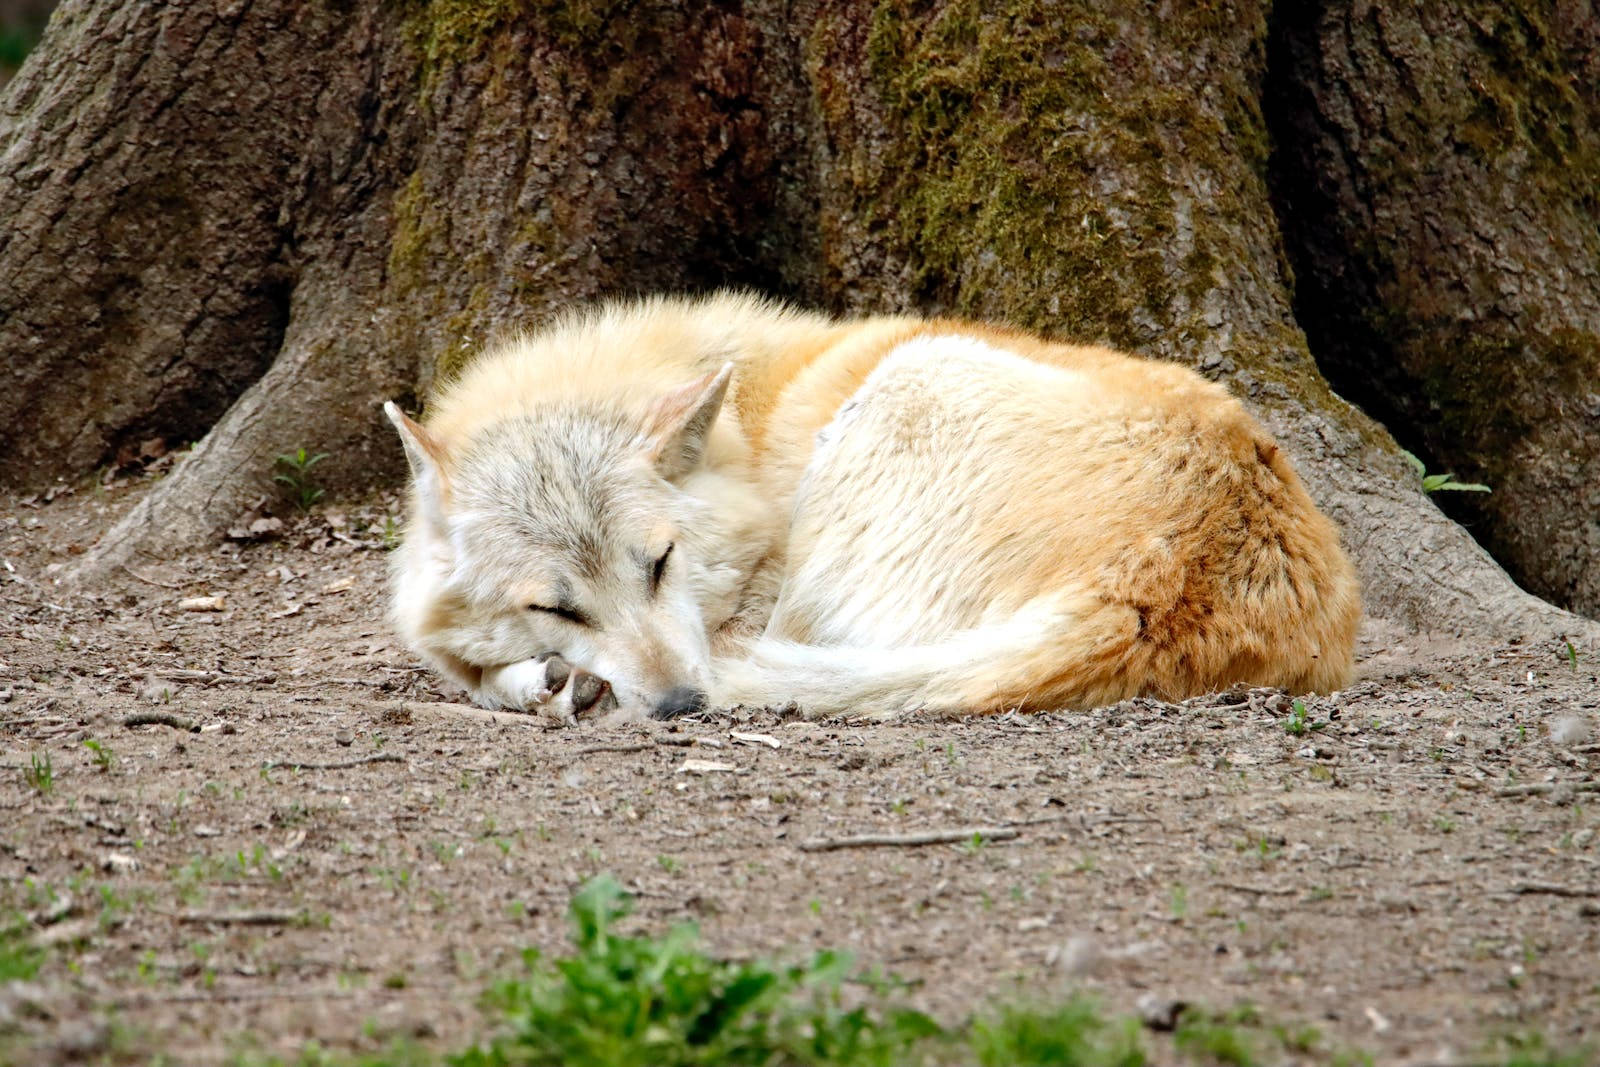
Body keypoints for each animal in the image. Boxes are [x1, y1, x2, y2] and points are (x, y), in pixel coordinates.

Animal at [386, 292, 1360, 724]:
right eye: (556, 605)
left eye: (659, 563)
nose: (681, 706)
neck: (748, 437)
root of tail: (1156, 584)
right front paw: (540, 676)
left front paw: (542, 684)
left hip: (907, 382)